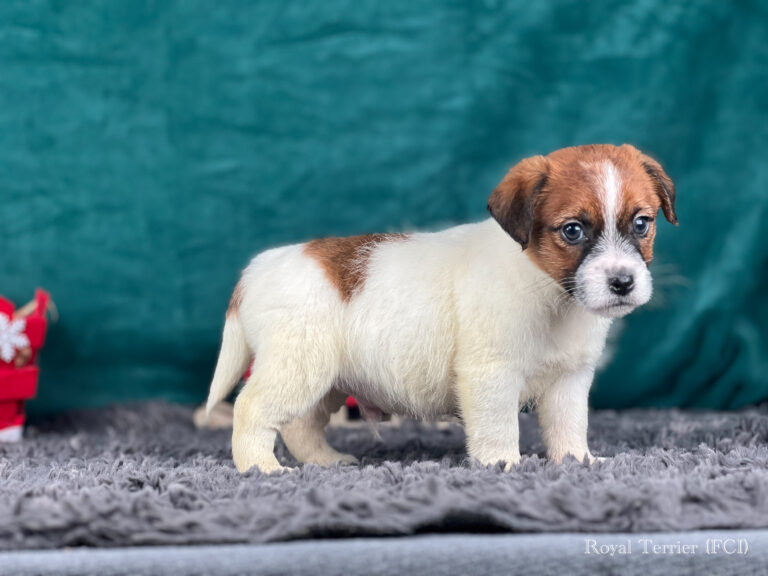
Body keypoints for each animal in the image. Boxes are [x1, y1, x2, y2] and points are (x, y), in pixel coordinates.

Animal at [207, 143, 676, 472]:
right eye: (573, 231)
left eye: (642, 224)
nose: (622, 283)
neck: (548, 290)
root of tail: (258, 268)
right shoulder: (491, 376)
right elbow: (498, 427)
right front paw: (503, 464)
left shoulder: (569, 381)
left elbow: (570, 427)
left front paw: (578, 461)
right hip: (298, 367)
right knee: (252, 409)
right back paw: (261, 468)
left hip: (326, 380)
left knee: (301, 426)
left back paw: (325, 461)